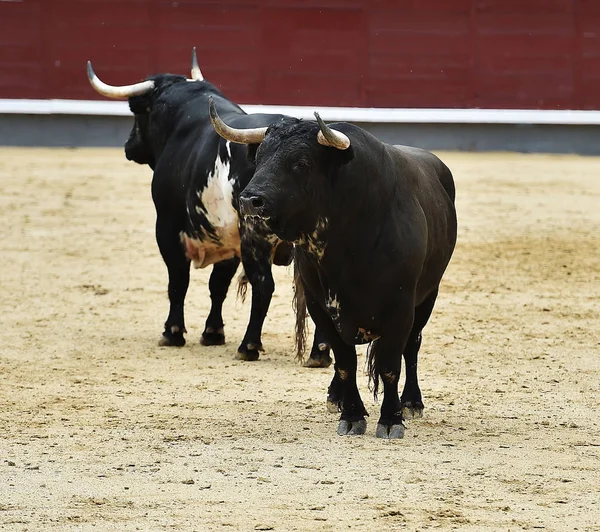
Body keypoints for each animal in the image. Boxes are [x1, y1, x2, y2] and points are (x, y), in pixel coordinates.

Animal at [88, 51, 332, 366]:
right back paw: (320, 352)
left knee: (263, 285)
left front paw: (172, 332)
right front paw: (213, 332)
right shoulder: (227, 238)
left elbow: (178, 281)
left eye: (138, 114)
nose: (129, 147)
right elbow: (218, 285)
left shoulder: (168, 228)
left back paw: (249, 346)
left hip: (255, 235)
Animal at [209, 101, 458, 440]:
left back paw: (411, 402)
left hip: (428, 296)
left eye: (301, 163)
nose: (249, 200)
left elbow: (391, 365)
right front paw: (351, 414)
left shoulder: (401, 307)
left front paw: (391, 419)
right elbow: (344, 363)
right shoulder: (321, 306)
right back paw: (336, 397)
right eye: (258, 158)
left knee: (412, 347)